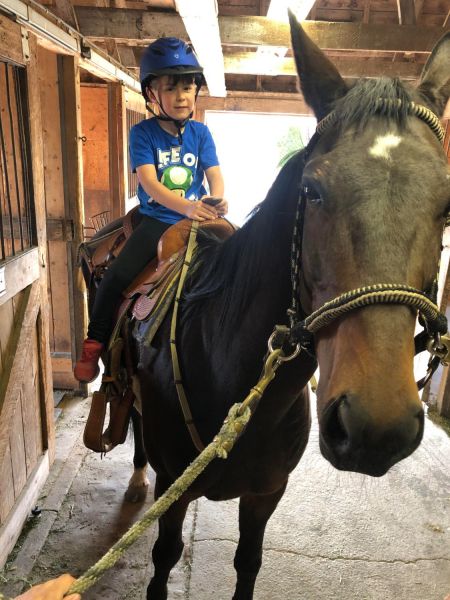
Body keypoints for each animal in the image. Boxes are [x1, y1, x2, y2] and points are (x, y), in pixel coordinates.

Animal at [89, 14, 450, 600]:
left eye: (447, 205)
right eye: (313, 191)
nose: (376, 429)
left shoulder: (266, 494)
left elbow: (248, 563)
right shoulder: (175, 491)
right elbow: (164, 559)